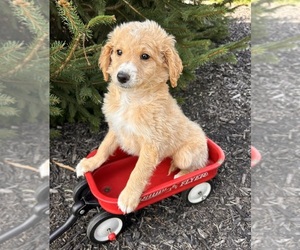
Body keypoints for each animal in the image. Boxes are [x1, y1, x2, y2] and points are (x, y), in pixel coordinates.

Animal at [77, 20, 209, 214]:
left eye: (145, 56)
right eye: (118, 52)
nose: (122, 76)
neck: (130, 99)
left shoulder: (151, 144)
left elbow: (138, 172)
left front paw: (128, 198)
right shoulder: (115, 127)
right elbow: (104, 147)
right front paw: (89, 163)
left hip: (186, 155)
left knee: (199, 166)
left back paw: (182, 176)